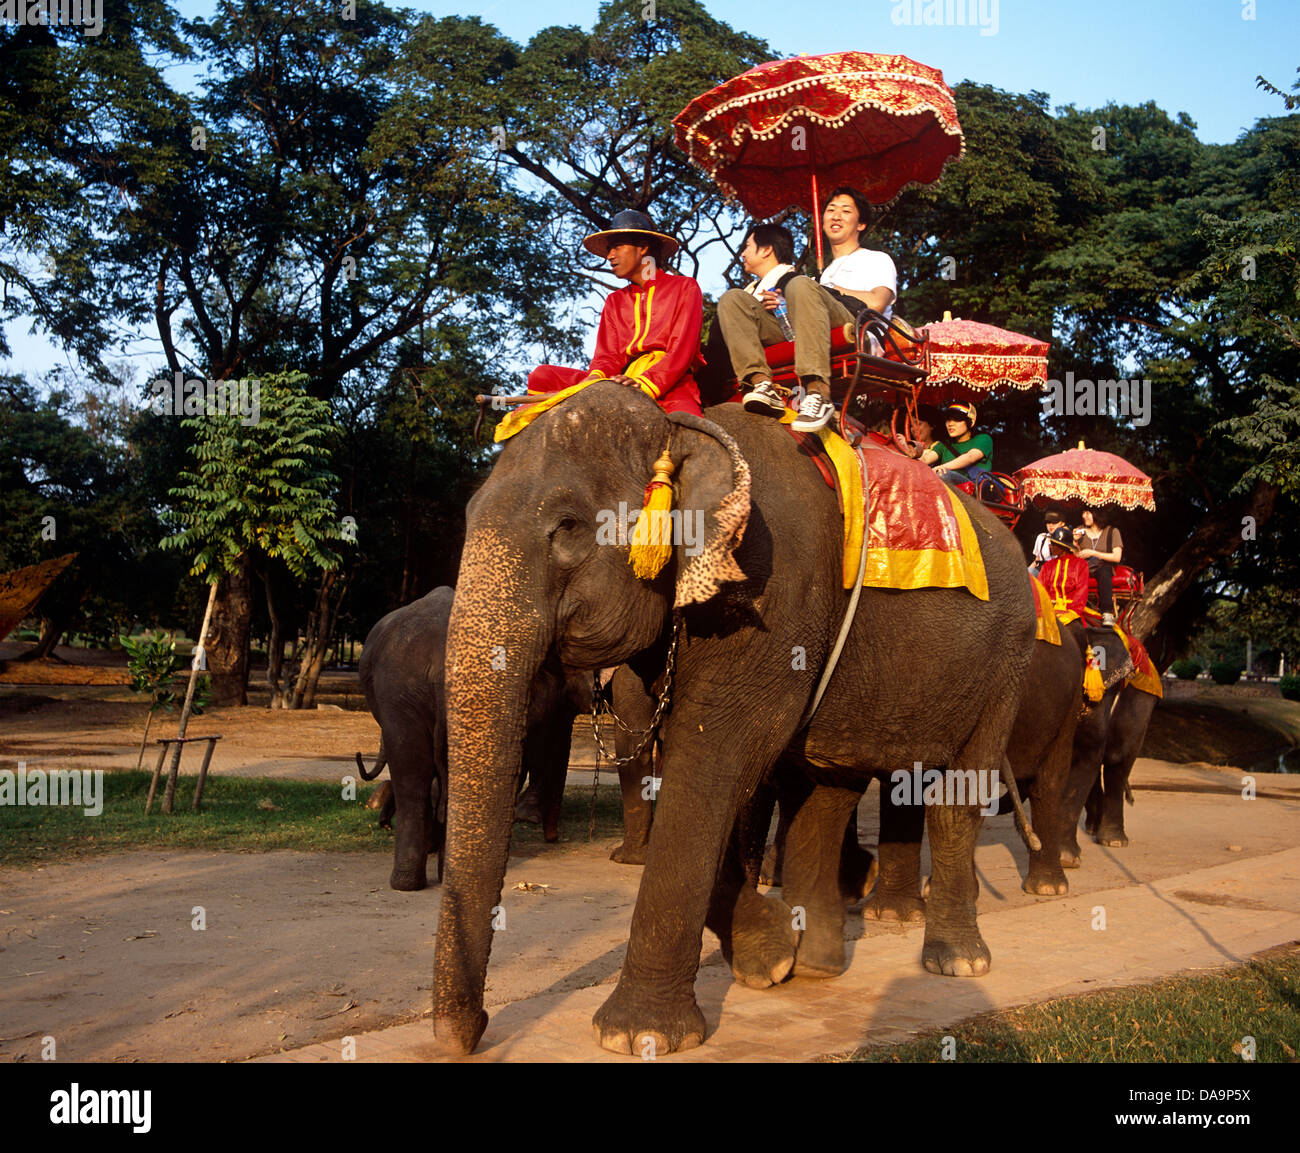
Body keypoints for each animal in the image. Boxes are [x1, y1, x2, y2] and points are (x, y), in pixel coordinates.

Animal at [428, 382, 1034, 1060]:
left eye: (568, 527)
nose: (472, 1032)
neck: (682, 431)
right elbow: (704, 768)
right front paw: (769, 957)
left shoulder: (771, 594)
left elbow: (715, 763)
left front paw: (636, 1034)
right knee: (828, 785)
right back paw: (817, 961)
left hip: (1007, 659)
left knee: (958, 792)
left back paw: (957, 963)